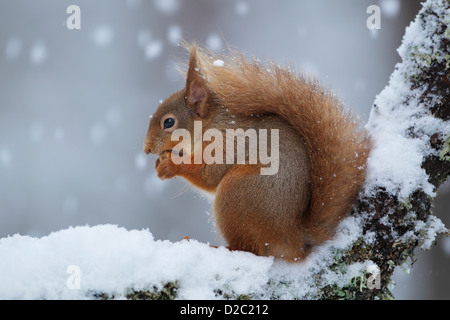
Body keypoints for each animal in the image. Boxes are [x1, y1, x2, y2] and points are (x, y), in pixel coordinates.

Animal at [143, 43, 370, 262]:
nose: (146, 149)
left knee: (249, 249)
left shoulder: (227, 144)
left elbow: (208, 175)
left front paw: (170, 164)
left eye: (169, 122)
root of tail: (293, 239)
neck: (211, 124)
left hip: (237, 194)